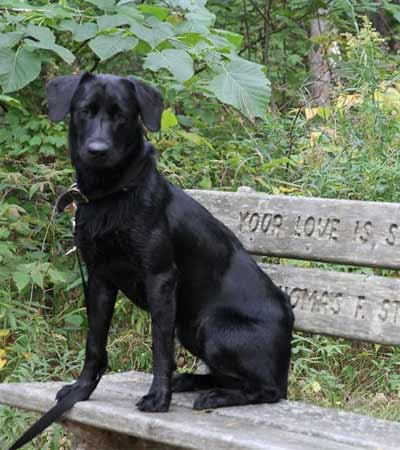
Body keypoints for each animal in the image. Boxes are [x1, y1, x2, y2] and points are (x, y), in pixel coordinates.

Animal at [7, 74, 292, 450]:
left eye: (122, 115)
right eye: (85, 111)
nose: (97, 150)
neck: (110, 196)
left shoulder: (160, 279)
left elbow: (160, 347)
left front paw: (159, 398)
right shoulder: (99, 278)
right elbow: (94, 344)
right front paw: (82, 389)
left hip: (214, 328)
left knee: (267, 389)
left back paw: (215, 395)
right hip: (191, 329)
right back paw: (192, 382)